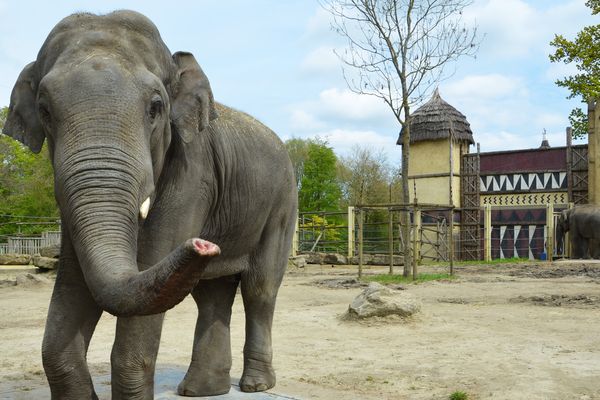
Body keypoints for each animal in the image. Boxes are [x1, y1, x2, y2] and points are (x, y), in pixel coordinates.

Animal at [2, 10, 298, 400]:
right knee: (211, 294)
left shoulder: (193, 172)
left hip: (282, 204)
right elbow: (75, 280)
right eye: (44, 110)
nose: (200, 244)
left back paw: (255, 385)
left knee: (260, 288)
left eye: (156, 108)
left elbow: (153, 257)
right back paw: (201, 390)